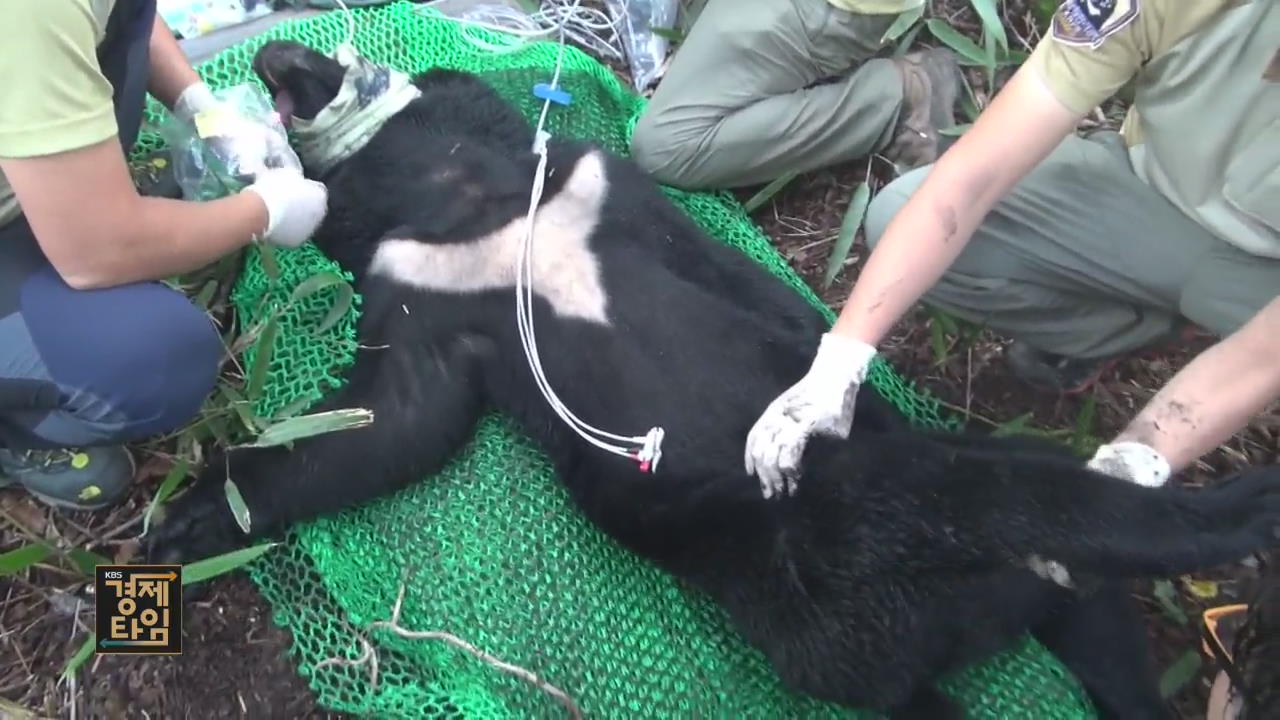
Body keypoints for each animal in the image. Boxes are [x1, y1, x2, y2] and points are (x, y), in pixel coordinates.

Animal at [149, 40, 1280, 717]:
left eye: (349, 58)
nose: (276, 50)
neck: (470, 199)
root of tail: (979, 598)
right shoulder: (427, 303)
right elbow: (384, 424)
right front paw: (196, 513)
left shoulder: (605, 190)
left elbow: (761, 297)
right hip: (835, 610)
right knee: (1039, 617)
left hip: (884, 500)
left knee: (1038, 505)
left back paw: (1240, 510)